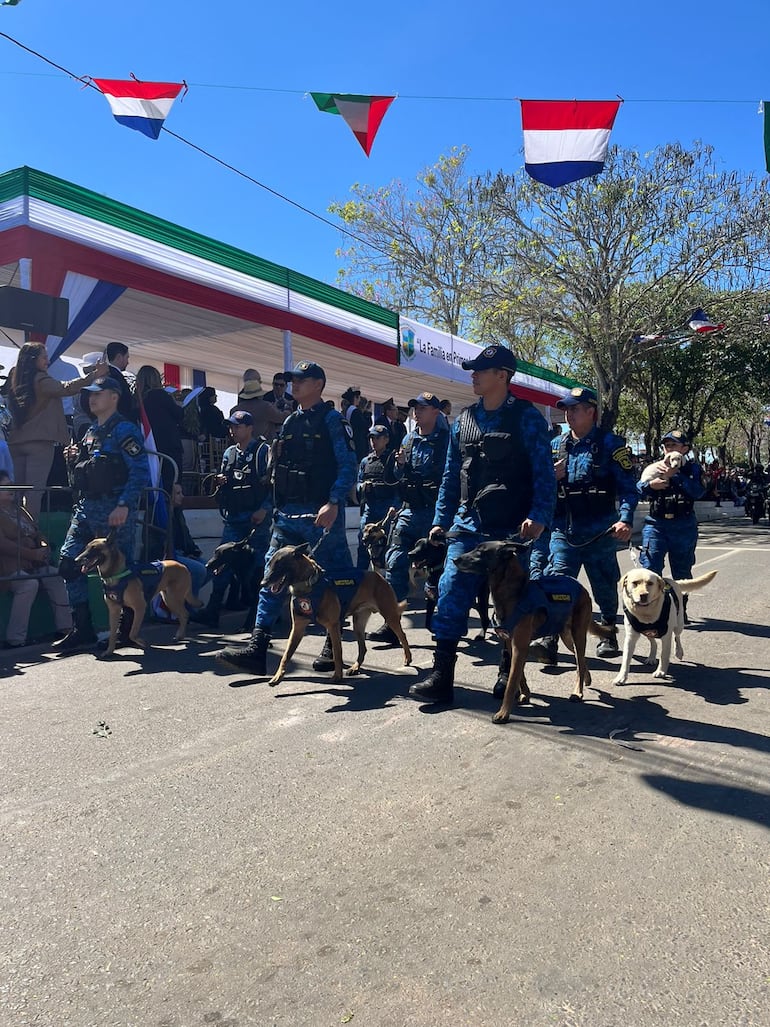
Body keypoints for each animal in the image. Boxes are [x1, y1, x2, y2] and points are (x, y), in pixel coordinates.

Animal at [74, 529, 202, 657]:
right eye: (86, 548)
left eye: (94, 548)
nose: (76, 560)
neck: (115, 575)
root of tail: (182, 565)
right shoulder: (114, 610)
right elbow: (113, 634)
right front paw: (109, 651)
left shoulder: (140, 607)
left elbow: (133, 632)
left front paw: (141, 642)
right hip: (169, 599)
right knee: (183, 615)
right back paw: (181, 635)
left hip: (173, 598)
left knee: (185, 614)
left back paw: (180, 635)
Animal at [264, 542, 412, 686]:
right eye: (269, 563)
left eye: (279, 564)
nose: (263, 583)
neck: (308, 585)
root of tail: (379, 576)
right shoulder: (297, 628)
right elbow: (286, 655)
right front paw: (278, 676)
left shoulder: (333, 626)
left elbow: (337, 652)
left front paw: (337, 676)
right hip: (358, 624)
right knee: (363, 648)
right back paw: (355, 667)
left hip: (389, 615)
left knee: (402, 635)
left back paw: (408, 658)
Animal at [457, 542, 616, 727]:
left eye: (481, 552)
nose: (454, 559)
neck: (512, 594)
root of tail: (582, 587)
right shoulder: (511, 645)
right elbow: (519, 676)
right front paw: (525, 695)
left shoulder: (519, 647)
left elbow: (512, 682)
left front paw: (503, 713)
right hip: (567, 636)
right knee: (580, 659)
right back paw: (586, 679)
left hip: (578, 634)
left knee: (580, 659)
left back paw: (577, 692)